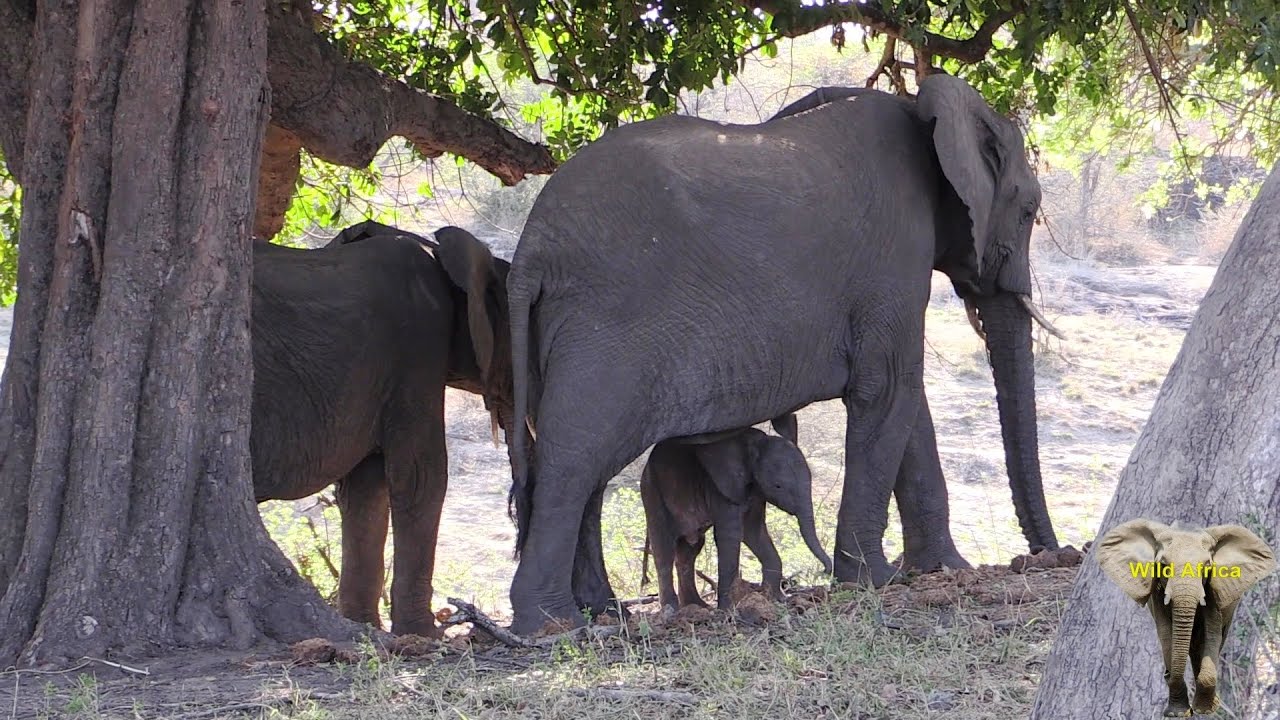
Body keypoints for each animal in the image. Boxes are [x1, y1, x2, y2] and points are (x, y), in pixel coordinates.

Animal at [639, 418, 832, 611]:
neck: (755, 444)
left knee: (690, 550)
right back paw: (671, 610)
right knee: (664, 548)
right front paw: (728, 609)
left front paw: (776, 599)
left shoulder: (755, 491)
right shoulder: (721, 487)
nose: (825, 571)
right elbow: (730, 536)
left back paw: (697, 605)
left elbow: (754, 531)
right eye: (778, 486)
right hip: (652, 492)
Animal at [1095, 519, 1276, 716]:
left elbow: (1211, 632)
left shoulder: (1211, 591)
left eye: (1207, 566)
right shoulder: (1157, 594)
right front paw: (1178, 713)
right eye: (1164, 565)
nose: (1166, 674)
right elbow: (1166, 633)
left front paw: (1203, 710)